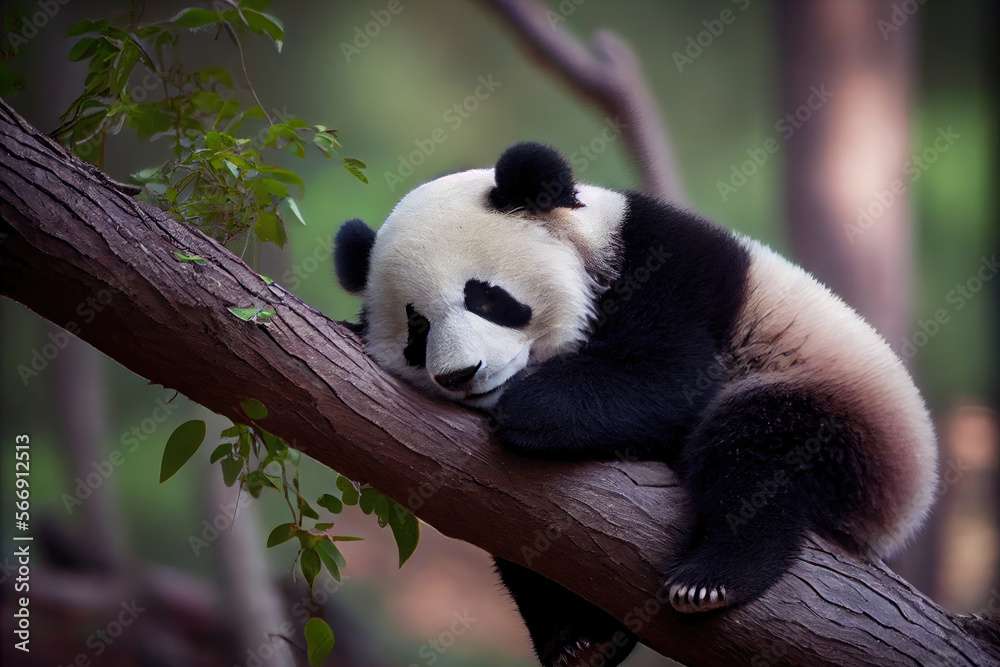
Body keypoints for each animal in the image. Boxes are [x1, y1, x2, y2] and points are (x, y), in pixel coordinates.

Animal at [334, 142, 938, 667]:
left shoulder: (666, 269)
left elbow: (672, 375)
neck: (589, 242)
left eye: (484, 297)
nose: (462, 375)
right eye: (417, 328)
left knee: (757, 448)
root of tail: (902, 511)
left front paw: (532, 407)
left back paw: (713, 578)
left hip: (842, 415)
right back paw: (582, 641)